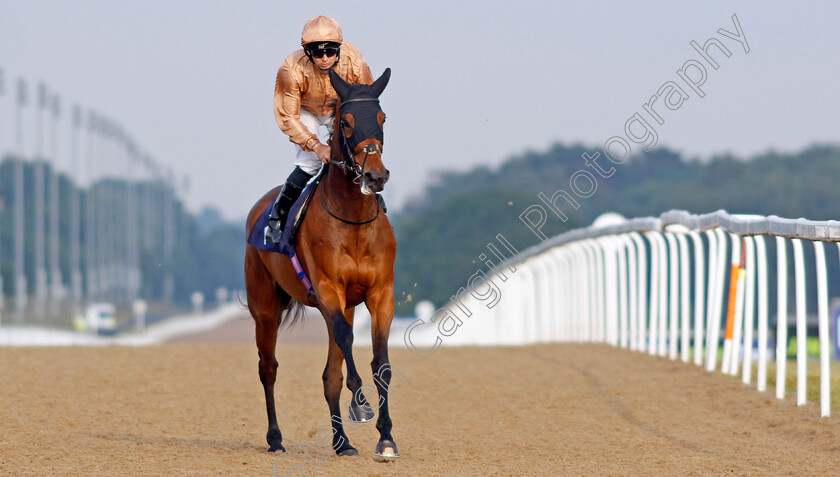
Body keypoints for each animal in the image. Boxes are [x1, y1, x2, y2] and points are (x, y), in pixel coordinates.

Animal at [243, 68, 400, 458]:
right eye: (345, 122)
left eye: (382, 118)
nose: (376, 176)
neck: (353, 222)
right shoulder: (329, 291)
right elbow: (347, 342)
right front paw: (361, 404)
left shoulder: (380, 294)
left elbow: (380, 363)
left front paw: (386, 438)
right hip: (265, 308)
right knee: (268, 368)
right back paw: (276, 439)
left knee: (330, 376)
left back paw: (342, 443)